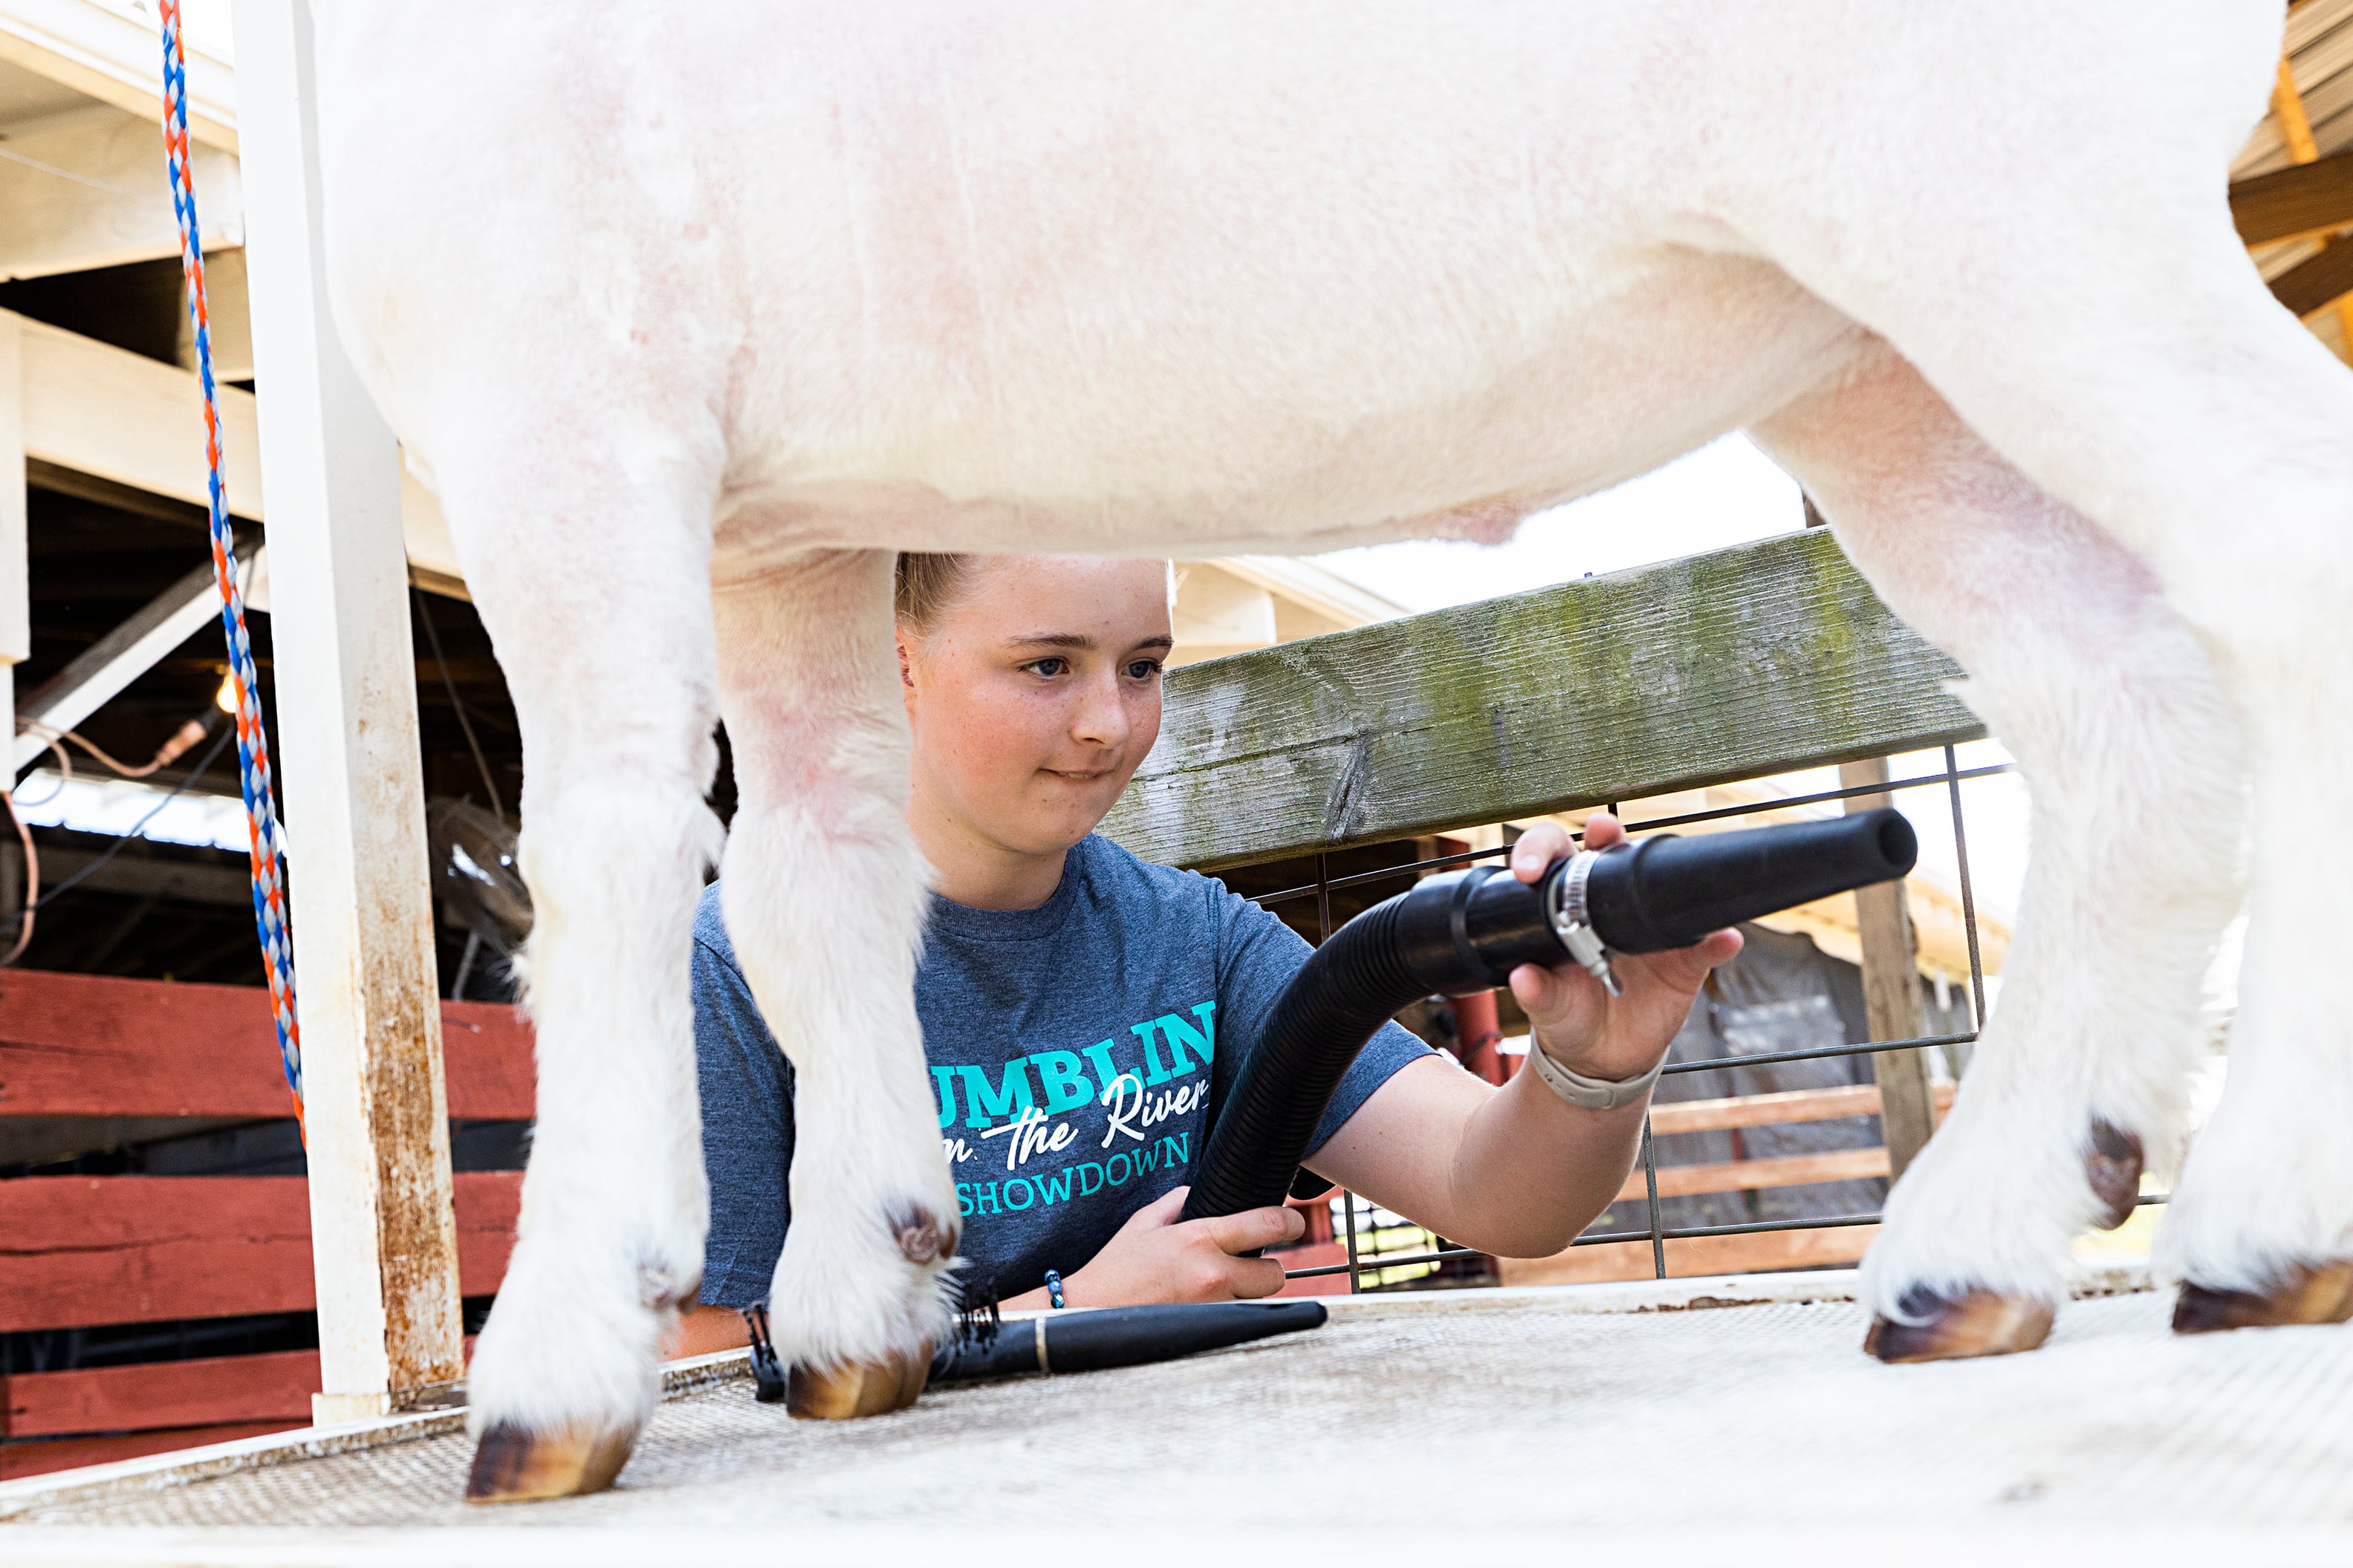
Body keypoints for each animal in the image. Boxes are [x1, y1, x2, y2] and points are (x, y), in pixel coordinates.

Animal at [313, 0, 2353, 1494]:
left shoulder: (555, 379)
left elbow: (608, 847)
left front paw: (553, 1368)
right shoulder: (781, 521)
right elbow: (816, 869)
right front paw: (851, 1301)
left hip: (2003, 195)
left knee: (2284, 550)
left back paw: (2258, 1218)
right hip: (1868, 344)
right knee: (2116, 692)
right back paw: (1978, 1246)